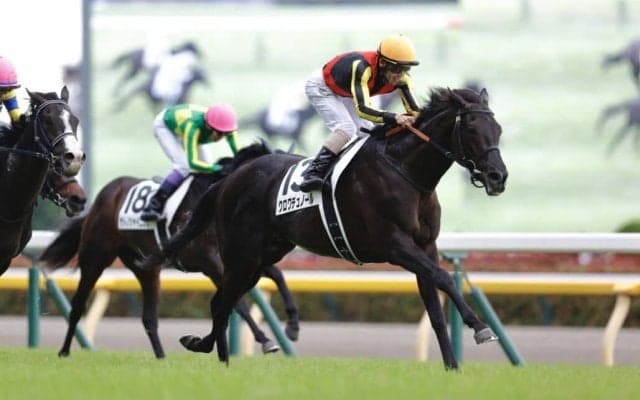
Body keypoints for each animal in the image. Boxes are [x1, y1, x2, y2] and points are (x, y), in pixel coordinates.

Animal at [38, 142, 299, 359]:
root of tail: (101, 199)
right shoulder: (210, 261)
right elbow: (239, 303)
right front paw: (266, 340)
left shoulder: (241, 259)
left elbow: (277, 276)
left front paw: (291, 325)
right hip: (95, 258)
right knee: (78, 306)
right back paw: (63, 351)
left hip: (146, 268)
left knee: (149, 318)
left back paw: (162, 357)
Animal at [142, 87, 508, 370]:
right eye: (472, 126)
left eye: (498, 128)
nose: (498, 177)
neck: (406, 172)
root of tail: (229, 179)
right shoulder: (394, 245)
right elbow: (444, 277)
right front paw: (480, 327)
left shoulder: (425, 246)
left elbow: (434, 306)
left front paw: (452, 366)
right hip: (240, 254)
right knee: (222, 302)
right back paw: (214, 352)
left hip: (262, 257)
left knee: (226, 300)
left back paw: (215, 353)